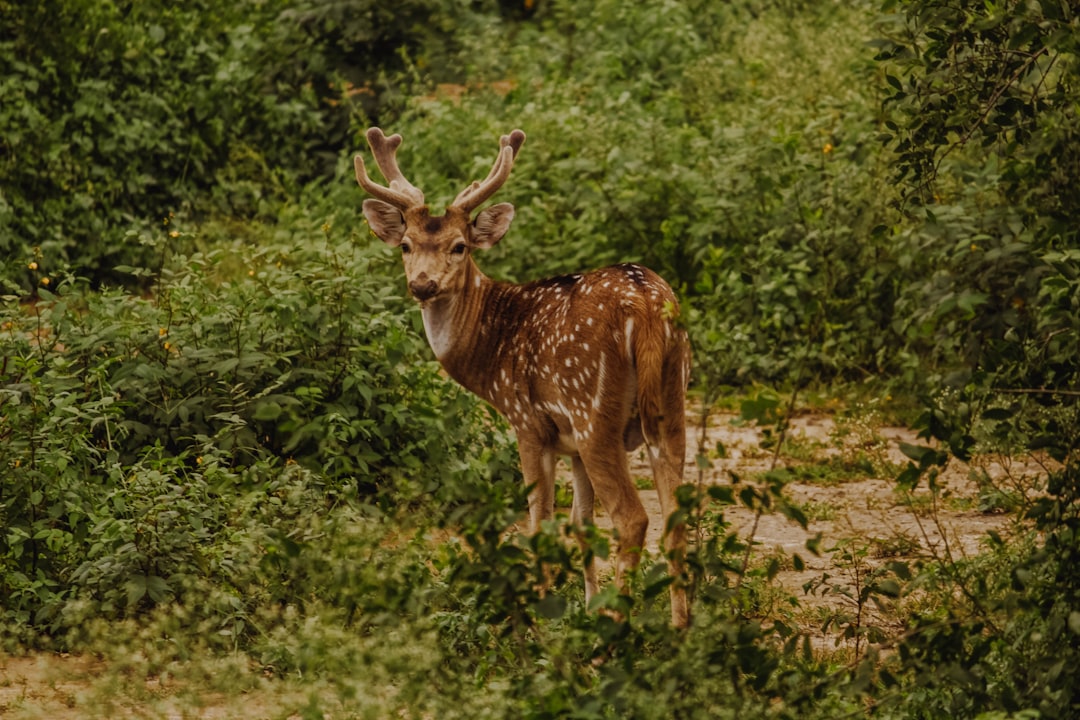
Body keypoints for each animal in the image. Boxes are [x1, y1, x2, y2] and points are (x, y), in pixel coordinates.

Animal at [354, 126, 691, 626]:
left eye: (460, 246)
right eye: (405, 244)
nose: (422, 284)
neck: (492, 350)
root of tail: (647, 307)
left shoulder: (529, 423)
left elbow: (540, 523)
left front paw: (544, 613)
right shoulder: (570, 445)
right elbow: (581, 524)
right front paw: (584, 608)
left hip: (593, 409)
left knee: (633, 518)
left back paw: (618, 629)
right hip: (670, 404)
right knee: (676, 516)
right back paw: (680, 627)